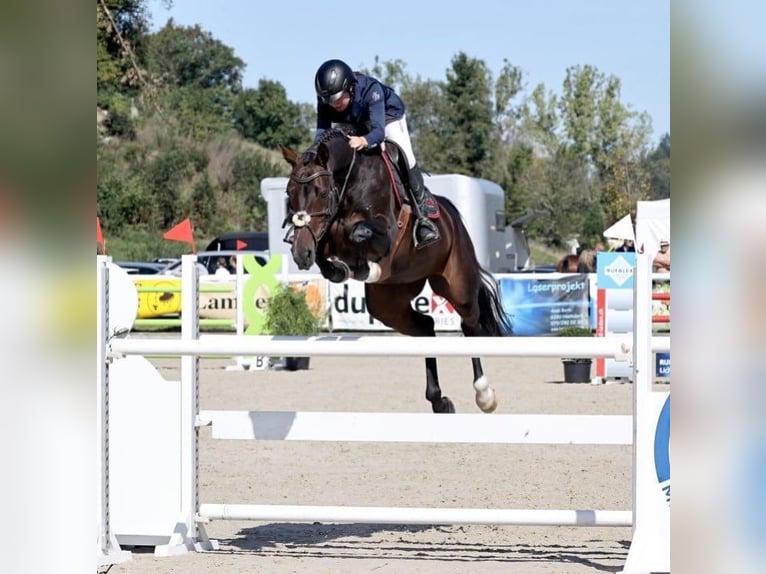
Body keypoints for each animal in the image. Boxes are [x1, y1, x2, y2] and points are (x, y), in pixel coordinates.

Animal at [279, 127, 512, 414]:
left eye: (321, 192)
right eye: (289, 192)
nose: (301, 254)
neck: (349, 182)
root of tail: (454, 219)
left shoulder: (385, 231)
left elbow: (359, 232)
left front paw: (364, 266)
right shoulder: (324, 236)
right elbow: (325, 251)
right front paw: (343, 268)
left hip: (457, 285)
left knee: (470, 324)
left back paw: (484, 394)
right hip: (389, 302)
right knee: (426, 326)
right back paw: (439, 400)